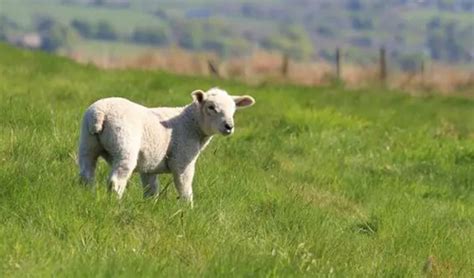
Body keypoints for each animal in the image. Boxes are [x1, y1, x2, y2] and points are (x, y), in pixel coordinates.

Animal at [78, 87, 256, 206]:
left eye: (234, 109)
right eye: (211, 107)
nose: (229, 126)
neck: (192, 123)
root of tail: (100, 114)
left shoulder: (149, 164)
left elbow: (151, 188)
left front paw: (150, 206)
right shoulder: (182, 160)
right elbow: (184, 188)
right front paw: (188, 210)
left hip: (87, 144)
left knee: (86, 175)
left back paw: (88, 196)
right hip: (124, 145)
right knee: (116, 181)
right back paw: (116, 205)